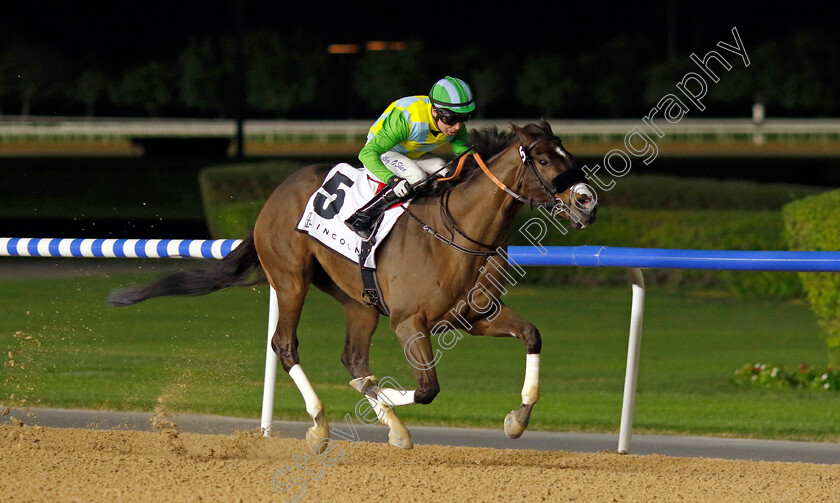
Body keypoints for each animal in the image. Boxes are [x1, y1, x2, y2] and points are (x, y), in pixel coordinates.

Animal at [110, 121, 596, 452]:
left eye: (569, 154)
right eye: (545, 160)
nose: (587, 201)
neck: (458, 233)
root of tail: (274, 195)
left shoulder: (474, 316)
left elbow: (531, 335)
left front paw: (518, 418)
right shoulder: (409, 323)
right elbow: (425, 388)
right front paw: (382, 404)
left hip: (357, 301)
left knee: (353, 356)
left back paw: (387, 424)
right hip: (291, 280)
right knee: (285, 345)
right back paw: (321, 426)